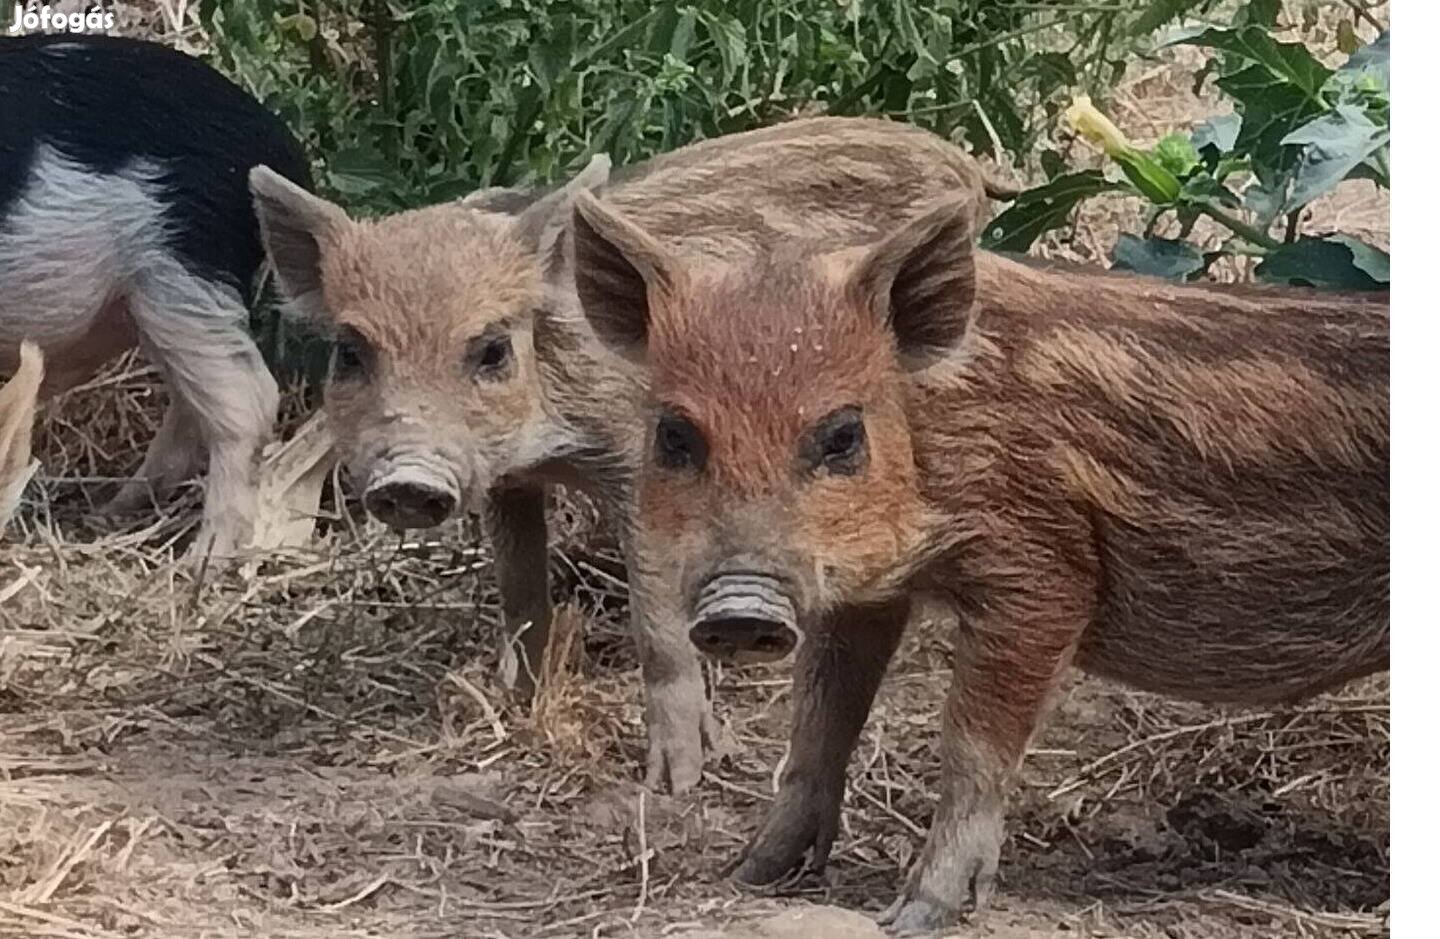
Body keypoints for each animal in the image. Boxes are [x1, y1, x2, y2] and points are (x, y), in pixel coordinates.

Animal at [0, 34, 313, 558]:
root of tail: (280, 147)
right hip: (148, 303)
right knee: (192, 408)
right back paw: (109, 512)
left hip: (184, 269)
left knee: (247, 401)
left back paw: (203, 557)